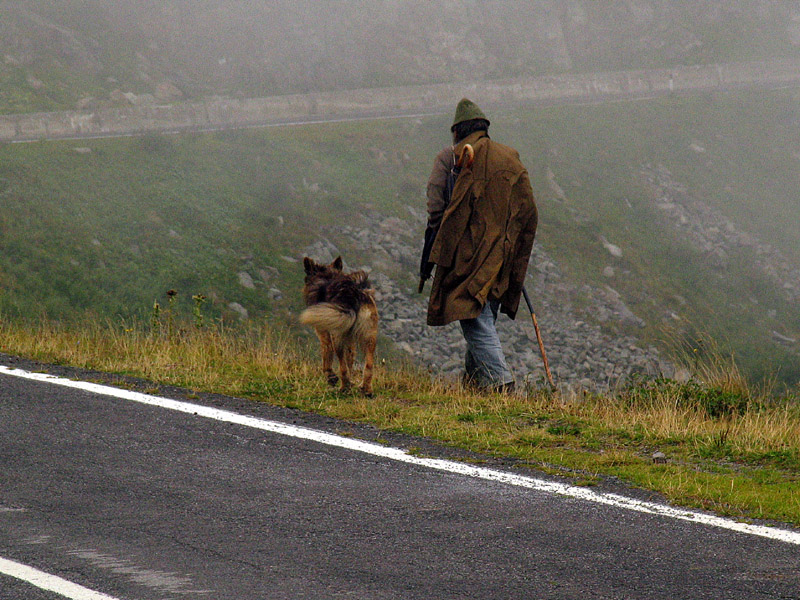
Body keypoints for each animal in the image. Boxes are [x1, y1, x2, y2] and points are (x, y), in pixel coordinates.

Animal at [300, 255, 378, 396]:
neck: (326, 276)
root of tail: (354, 293)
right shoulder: (350, 338)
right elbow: (350, 358)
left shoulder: (323, 331)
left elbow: (327, 353)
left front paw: (330, 376)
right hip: (369, 335)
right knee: (368, 365)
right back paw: (366, 390)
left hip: (337, 335)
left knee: (342, 366)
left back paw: (344, 387)